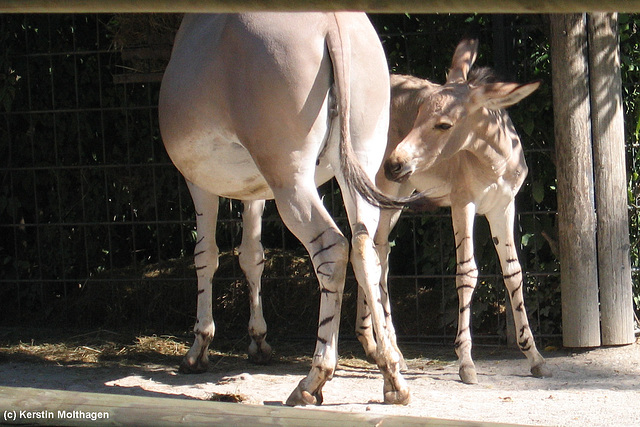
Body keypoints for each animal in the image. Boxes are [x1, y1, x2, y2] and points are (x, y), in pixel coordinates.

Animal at [160, 13, 416, 408]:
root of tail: (331, 20)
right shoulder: (254, 189)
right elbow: (252, 256)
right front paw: (258, 341)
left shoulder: (198, 180)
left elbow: (206, 255)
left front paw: (198, 348)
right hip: (359, 161)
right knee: (365, 249)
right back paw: (392, 378)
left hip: (290, 180)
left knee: (332, 250)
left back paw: (314, 380)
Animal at [370, 37, 552, 384]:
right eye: (417, 114)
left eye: (444, 124)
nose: (393, 164)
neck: (494, 160)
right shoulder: (462, 203)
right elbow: (467, 272)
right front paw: (466, 360)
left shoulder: (503, 207)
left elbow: (513, 272)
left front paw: (534, 356)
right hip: (379, 190)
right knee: (365, 250)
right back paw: (387, 351)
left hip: (399, 194)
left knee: (377, 249)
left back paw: (382, 349)